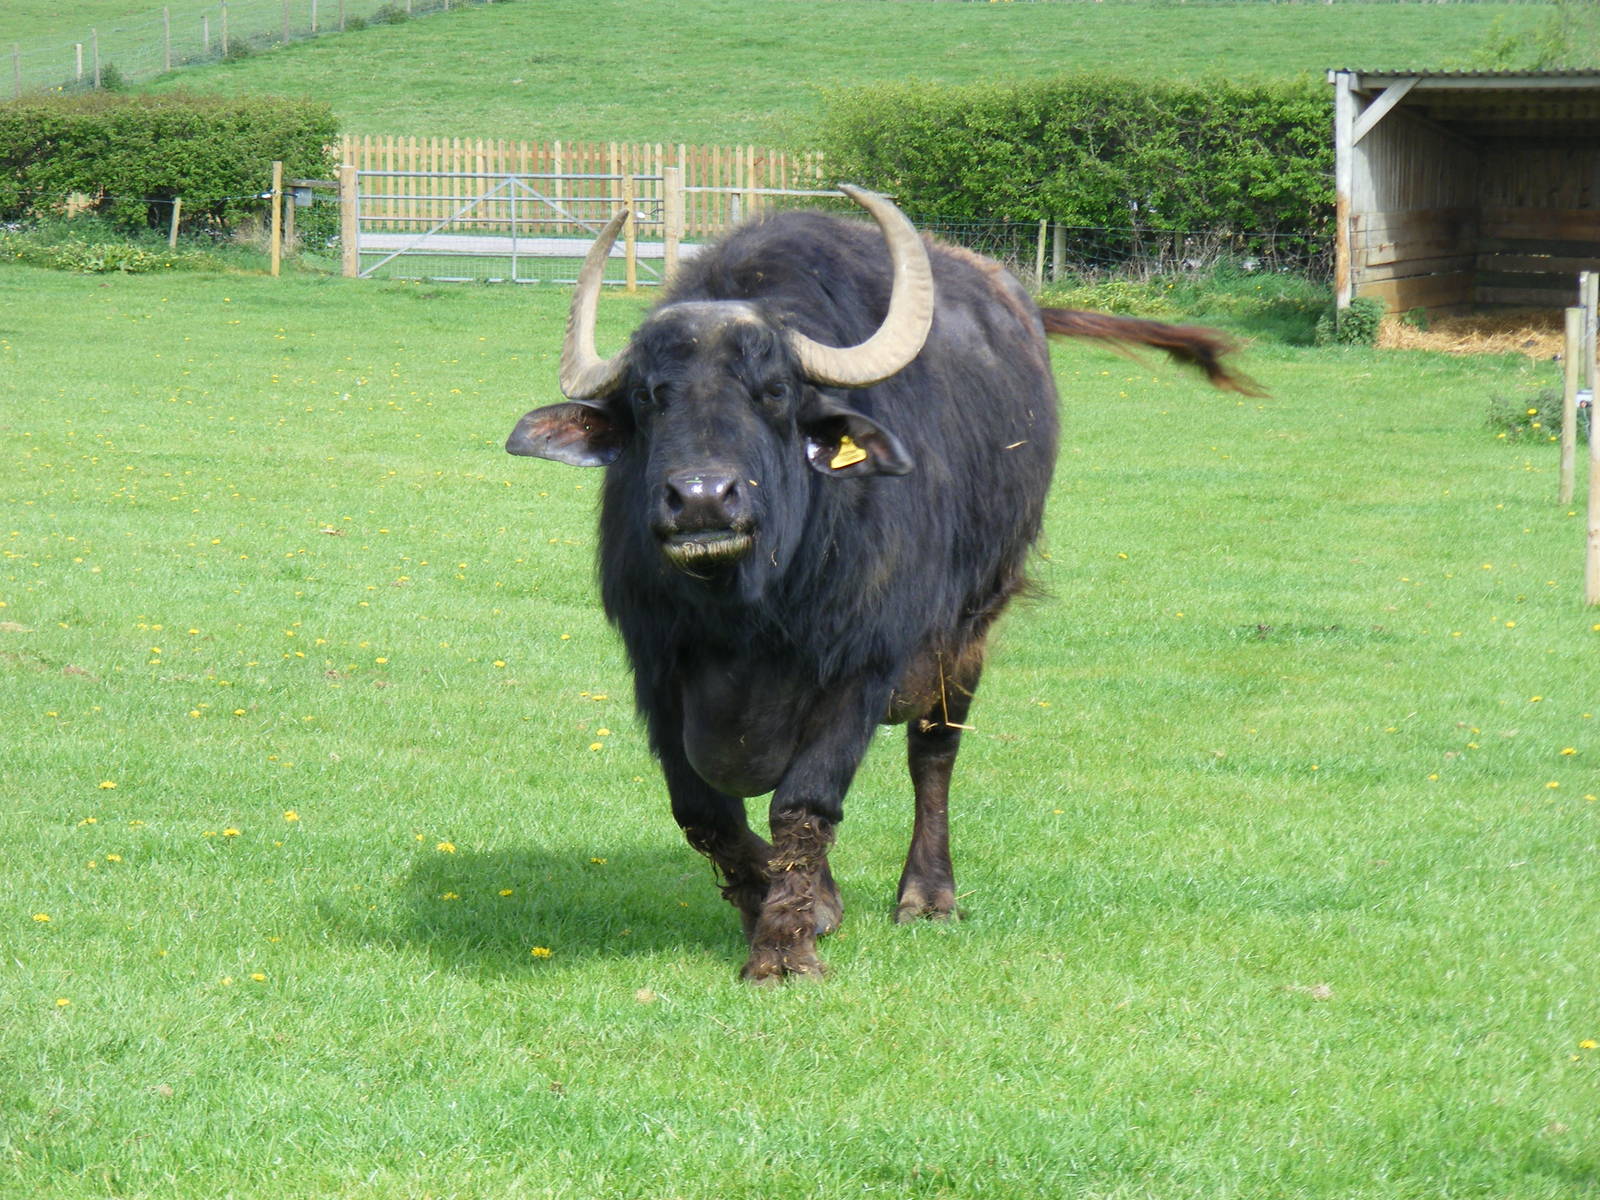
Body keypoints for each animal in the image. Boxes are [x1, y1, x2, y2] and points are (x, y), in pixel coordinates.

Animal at [507, 187, 1252, 981]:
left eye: (775, 391)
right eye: (651, 398)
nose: (703, 499)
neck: (746, 613)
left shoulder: (859, 665)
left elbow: (805, 803)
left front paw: (783, 950)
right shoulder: (657, 671)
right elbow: (707, 814)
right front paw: (789, 907)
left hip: (969, 629)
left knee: (935, 754)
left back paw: (928, 895)